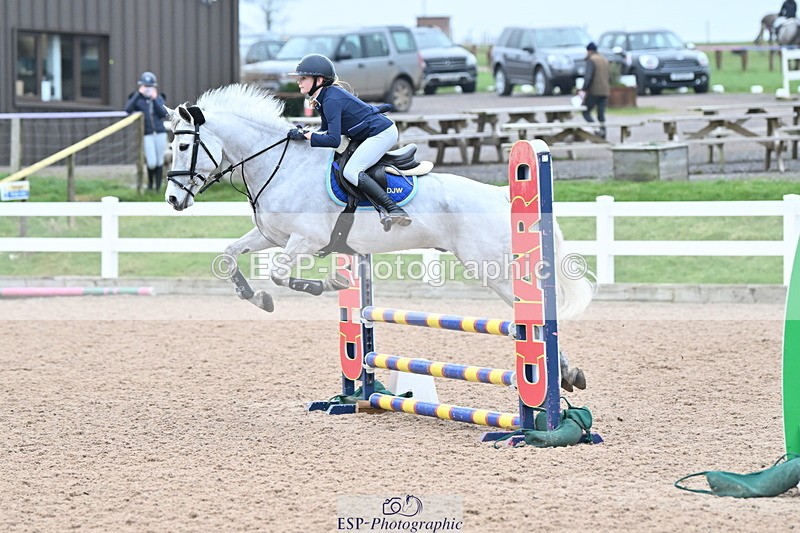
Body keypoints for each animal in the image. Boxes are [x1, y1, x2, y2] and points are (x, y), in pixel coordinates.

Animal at [164, 84, 594, 389]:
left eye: (184, 145)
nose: (171, 199)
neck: (279, 164)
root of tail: (501, 193)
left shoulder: (305, 240)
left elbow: (280, 274)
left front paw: (330, 283)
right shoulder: (270, 235)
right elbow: (228, 255)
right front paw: (254, 297)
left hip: (493, 269)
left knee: (532, 315)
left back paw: (560, 376)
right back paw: (566, 375)